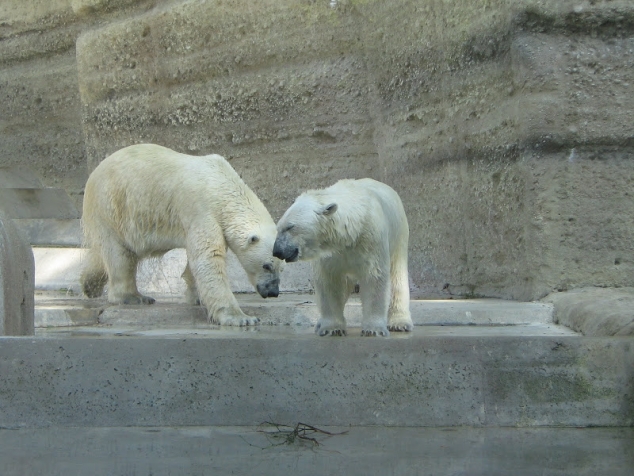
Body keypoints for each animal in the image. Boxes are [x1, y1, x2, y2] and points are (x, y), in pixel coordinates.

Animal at [79, 143, 282, 326]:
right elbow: (208, 258)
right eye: (266, 266)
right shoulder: (201, 210)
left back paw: (89, 285)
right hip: (111, 207)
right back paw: (134, 297)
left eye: (281, 266)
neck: (221, 183)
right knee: (119, 255)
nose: (273, 292)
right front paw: (241, 318)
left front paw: (196, 297)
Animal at [272, 178, 412, 338]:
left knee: (397, 277)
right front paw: (331, 328)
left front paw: (373, 329)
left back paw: (400, 323)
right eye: (278, 228)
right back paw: (319, 324)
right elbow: (329, 282)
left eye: (290, 227)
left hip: (399, 235)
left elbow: (374, 277)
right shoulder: (330, 253)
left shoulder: (372, 240)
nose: (277, 251)